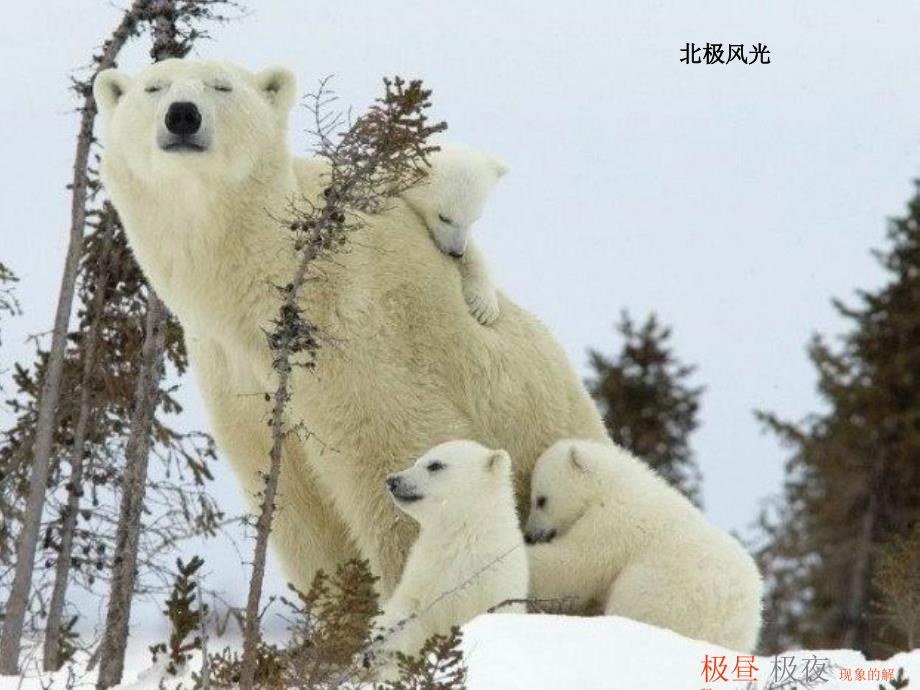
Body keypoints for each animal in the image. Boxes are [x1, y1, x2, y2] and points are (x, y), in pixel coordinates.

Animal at [95, 60, 612, 592]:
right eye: (153, 87)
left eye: (222, 86)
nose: (182, 115)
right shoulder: (236, 373)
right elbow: (299, 509)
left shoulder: (357, 333)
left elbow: (398, 461)